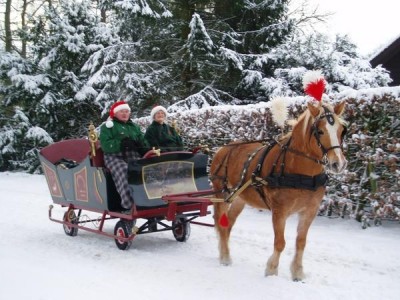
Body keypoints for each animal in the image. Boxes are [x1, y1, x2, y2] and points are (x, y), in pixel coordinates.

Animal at [209, 101, 346, 282]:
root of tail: (224, 148)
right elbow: (280, 242)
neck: (300, 172)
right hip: (222, 193)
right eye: (320, 131)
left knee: (228, 224)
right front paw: (271, 269)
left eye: (341, 130)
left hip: (239, 198)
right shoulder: (279, 211)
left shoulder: (310, 211)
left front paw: (297, 272)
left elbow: (301, 242)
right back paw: (225, 257)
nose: (339, 164)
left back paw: (224, 253)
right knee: (220, 221)